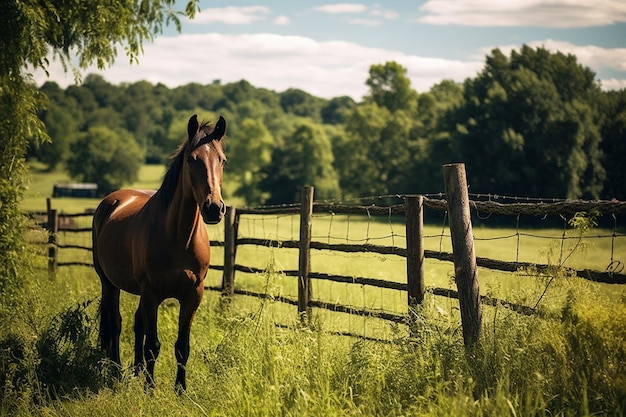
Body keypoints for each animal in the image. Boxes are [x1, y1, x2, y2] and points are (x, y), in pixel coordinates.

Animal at [91, 114, 228, 390]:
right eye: (191, 159)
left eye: (222, 160)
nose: (214, 208)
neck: (179, 238)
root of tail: (111, 201)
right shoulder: (152, 293)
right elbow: (152, 345)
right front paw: (150, 389)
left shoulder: (192, 295)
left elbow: (182, 346)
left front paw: (180, 390)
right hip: (109, 283)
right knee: (115, 323)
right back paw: (116, 369)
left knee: (136, 324)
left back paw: (136, 370)